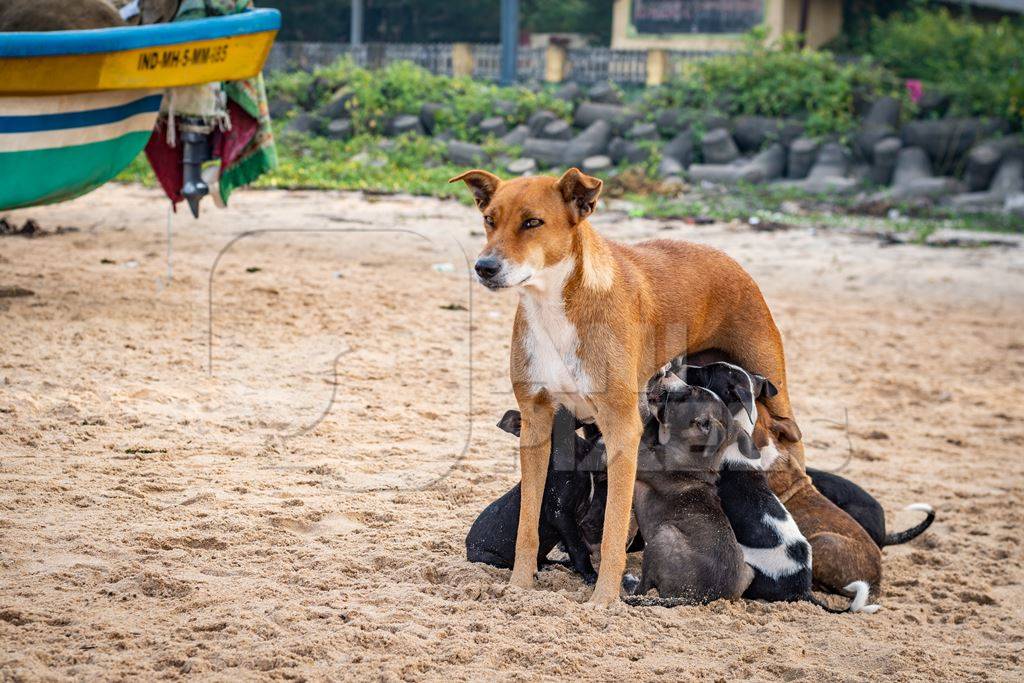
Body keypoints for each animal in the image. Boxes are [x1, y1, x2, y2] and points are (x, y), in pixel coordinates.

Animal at [466, 409, 602, 585]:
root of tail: (467, 547)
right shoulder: (559, 513)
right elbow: (578, 548)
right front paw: (591, 576)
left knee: (542, 559)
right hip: (490, 557)